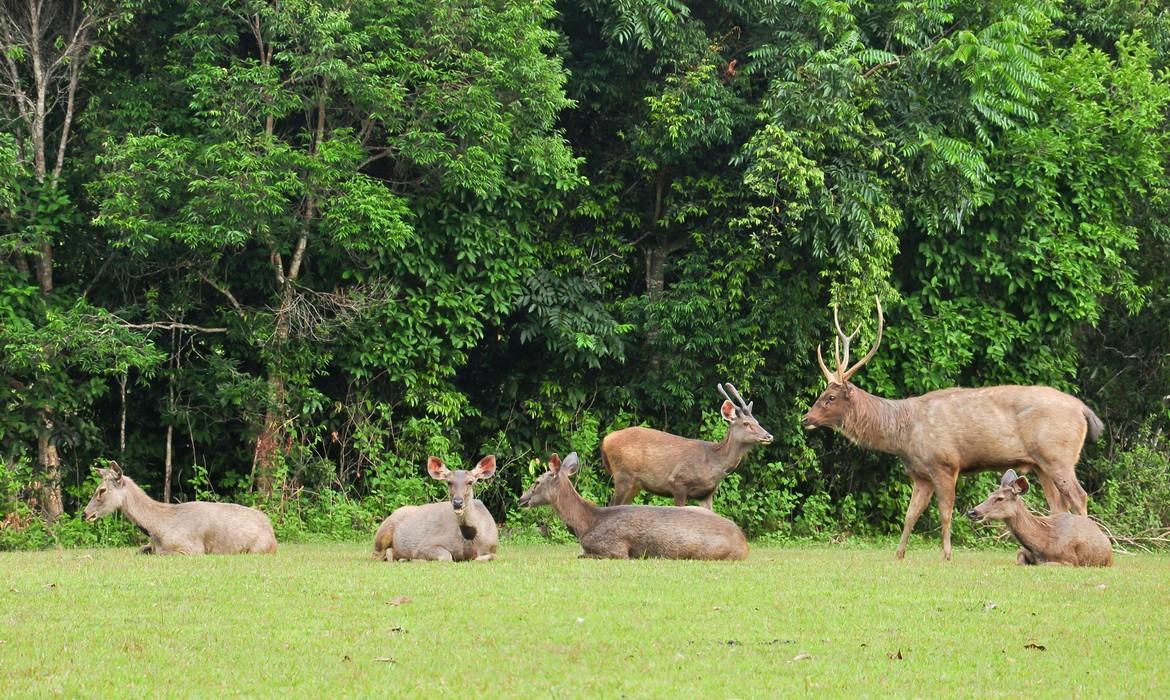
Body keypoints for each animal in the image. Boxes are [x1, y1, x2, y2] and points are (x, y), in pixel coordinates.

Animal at [81, 463, 277, 557]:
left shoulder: (192, 549)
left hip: (258, 548)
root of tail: (273, 535)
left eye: (102, 490)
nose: (85, 514)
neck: (157, 527)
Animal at [521, 451, 748, 561]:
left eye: (537, 482)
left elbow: (582, 554)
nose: (521, 499)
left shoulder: (615, 549)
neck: (585, 524)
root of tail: (745, 544)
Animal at [599, 383, 772, 510]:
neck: (713, 462)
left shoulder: (707, 493)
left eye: (757, 422)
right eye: (746, 423)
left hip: (635, 484)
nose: (769, 436)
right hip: (623, 475)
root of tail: (606, 440)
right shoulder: (677, 483)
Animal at [804, 298, 1104, 561]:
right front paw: (898, 554)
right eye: (822, 393)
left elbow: (945, 513)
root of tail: (1084, 411)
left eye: (830, 397)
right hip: (1041, 464)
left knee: (1079, 496)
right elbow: (910, 515)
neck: (904, 434)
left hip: (1059, 455)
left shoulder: (946, 464)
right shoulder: (920, 475)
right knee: (1059, 504)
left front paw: (946, 555)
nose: (806, 418)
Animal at [968, 468, 1113, 568]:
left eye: (1000, 498)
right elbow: (1019, 558)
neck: (1041, 542)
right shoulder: (1023, 551)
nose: (972, 512)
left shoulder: (1070, 560)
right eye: (989, 494)